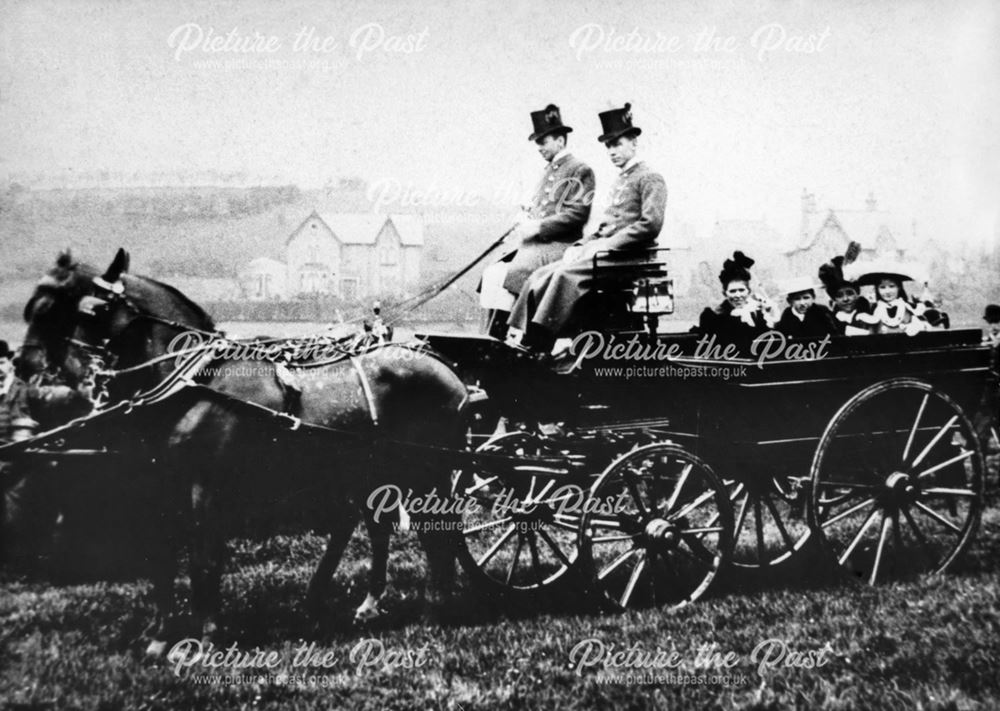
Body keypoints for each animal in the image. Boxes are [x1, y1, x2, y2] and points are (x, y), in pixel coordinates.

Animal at [5, 252, 470, 656]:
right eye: (33, 310)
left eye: (85, 310)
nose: (25, 367)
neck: (195, 381)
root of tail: (448, 372)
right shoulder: (164, 485)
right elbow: (163, 559)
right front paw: (161, 636)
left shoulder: (209, 487)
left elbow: (205, 559)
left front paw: (209, 636)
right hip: (373, 470)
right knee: (376, 528)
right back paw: (368, 604)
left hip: (425, 471)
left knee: (435, 534)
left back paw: (434, 610)